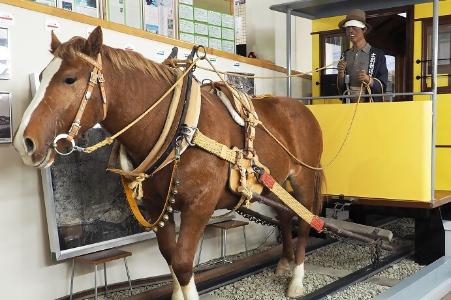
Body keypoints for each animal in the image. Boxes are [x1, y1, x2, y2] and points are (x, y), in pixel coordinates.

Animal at [13, 27, 324, 298]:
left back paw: (296, 279)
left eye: (70, 79)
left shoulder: (199, 205)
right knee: (284, 214)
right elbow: (170, 257)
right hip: (275, 182)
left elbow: (184, 263)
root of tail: (302, 108)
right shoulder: (156, 206)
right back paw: (284, 262)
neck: (177, 127)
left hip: (303, 177)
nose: (23, 143)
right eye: (41, 76)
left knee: (305, 220)